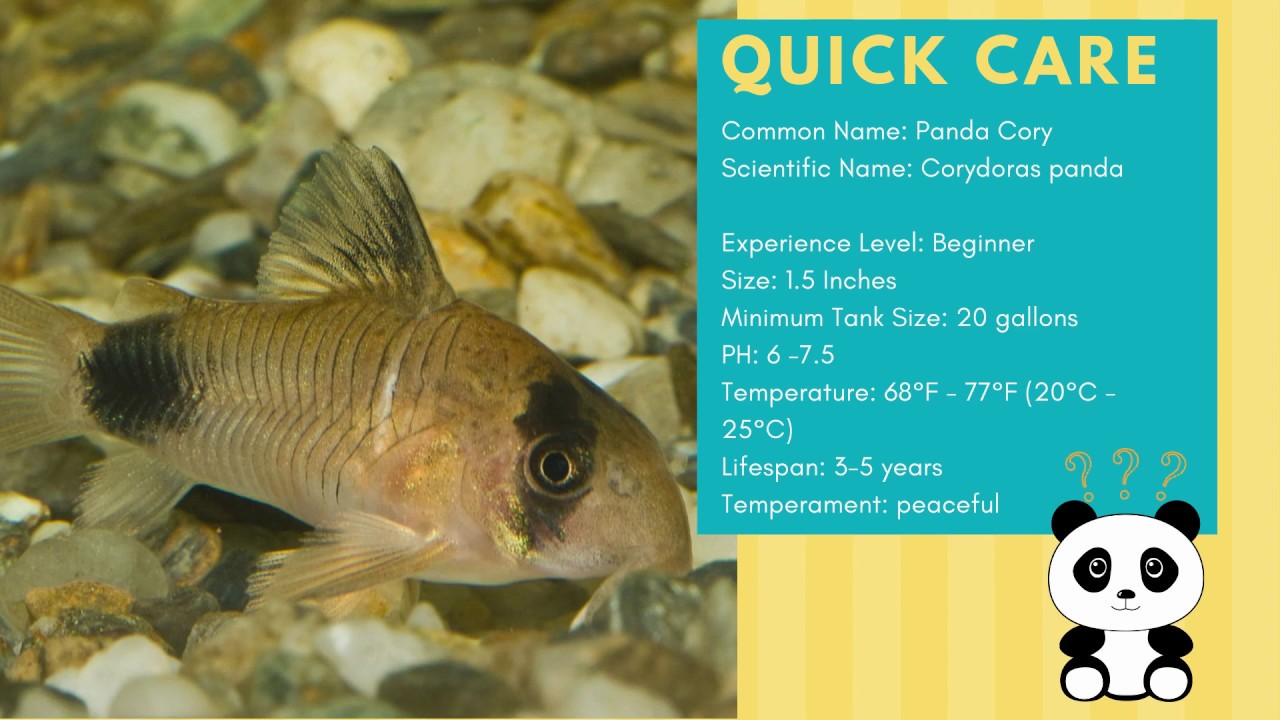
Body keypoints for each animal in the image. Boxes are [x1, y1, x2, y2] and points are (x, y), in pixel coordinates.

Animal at [1048, 500, 1204, 702]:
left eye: (1154, 566)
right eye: (1096, 566)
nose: (1125, 593)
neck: (1126, 633)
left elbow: (1175, 641)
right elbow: (1075, 642)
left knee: (1167, 665)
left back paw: (1168, 679)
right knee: (1085, 666)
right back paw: (1084, 680)